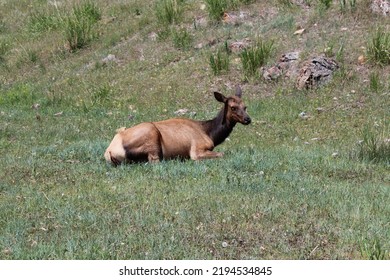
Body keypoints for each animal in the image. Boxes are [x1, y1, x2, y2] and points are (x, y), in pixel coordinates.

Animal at [104, 85, 250, 164]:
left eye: (245, 106)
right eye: (233, 107)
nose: (248, 119)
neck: (210, 133)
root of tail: (110, 151)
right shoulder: (197, 149)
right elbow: (221, 154)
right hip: (151, 136)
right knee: (155, 161)